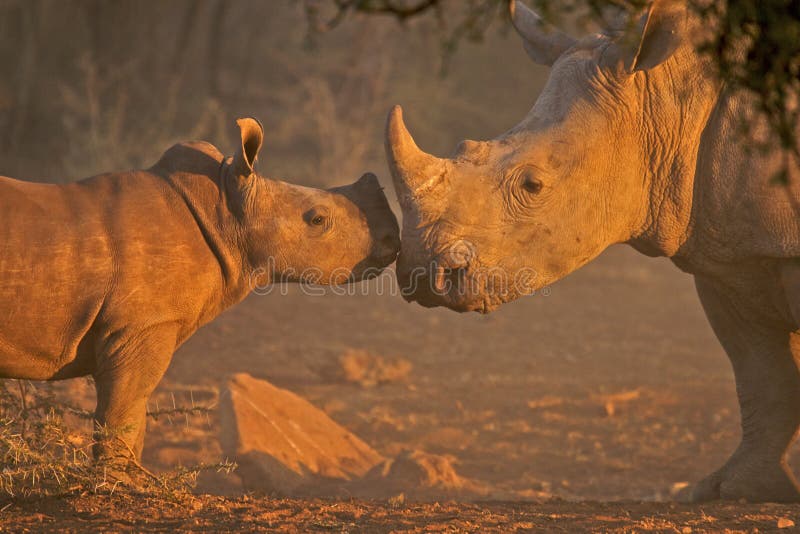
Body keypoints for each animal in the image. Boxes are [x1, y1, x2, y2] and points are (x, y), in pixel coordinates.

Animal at [0, 117, 400, 460]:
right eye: (318, 220)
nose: (392, 238)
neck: (225, 213)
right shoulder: (143, 325)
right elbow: (123, 410)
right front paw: (124, 486)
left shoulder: (142, 326)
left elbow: (133, 413)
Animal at [388, 0, 800, 504]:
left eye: (533, 185)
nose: (421, 273)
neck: (669, 97)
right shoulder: (730, 254)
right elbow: (762, 374)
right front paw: (738, 490)